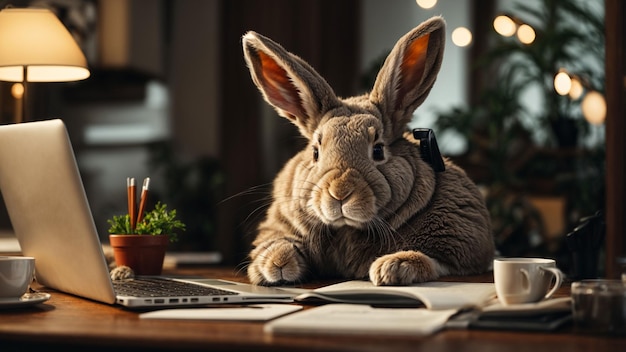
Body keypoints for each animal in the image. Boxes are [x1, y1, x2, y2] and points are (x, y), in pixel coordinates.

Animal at [241, 15, 490, 286]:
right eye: (316, 152)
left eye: (378, 150)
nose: (339, 193)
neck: (346, 229)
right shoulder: (279, 225)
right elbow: (278, 241)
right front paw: (276, 263)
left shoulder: (464, 247)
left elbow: (435, 261)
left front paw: (392, 267)